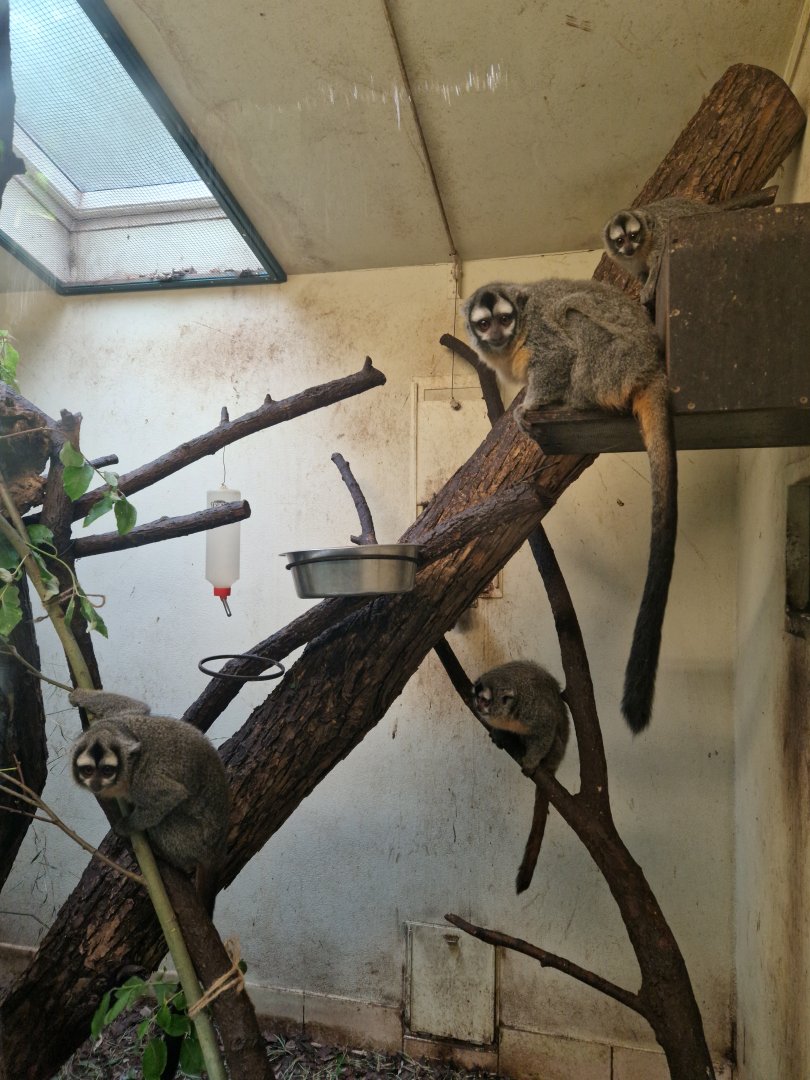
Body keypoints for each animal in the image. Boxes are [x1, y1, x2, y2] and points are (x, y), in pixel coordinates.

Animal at [68, 688, 230, 913]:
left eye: (107, 770)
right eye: (88, 770)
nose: (96, 783)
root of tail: (215, 851)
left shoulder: (143, 781)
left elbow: (171, 795)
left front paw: (125, 826)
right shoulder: (123, 718)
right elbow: (136, 706)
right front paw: (81, 695)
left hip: (196, 841)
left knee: (164, 823)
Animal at [463, 278, 676, 733]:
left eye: (505, 319)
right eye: (485, 323)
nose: (496, 335)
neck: (516, 340)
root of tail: (652, 368)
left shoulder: (539, 336)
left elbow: (557, 354)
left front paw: (528, 406)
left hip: (616, 366)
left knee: (571, 317)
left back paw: (574, 402)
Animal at [472, 660, 569, 893]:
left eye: (485, 700)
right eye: (477, 697)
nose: (478, 706)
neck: (507, 715)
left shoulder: (533, 711)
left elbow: (546, 729)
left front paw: (531, 762)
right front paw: (499, 734)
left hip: (556, 752)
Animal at [603, 189, 775, 307]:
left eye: (633, 236)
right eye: (620, 241)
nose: (629, 248)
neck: (641, 250)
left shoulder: (658, 237)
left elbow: (657, 260)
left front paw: (647, 290)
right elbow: (641, 273)